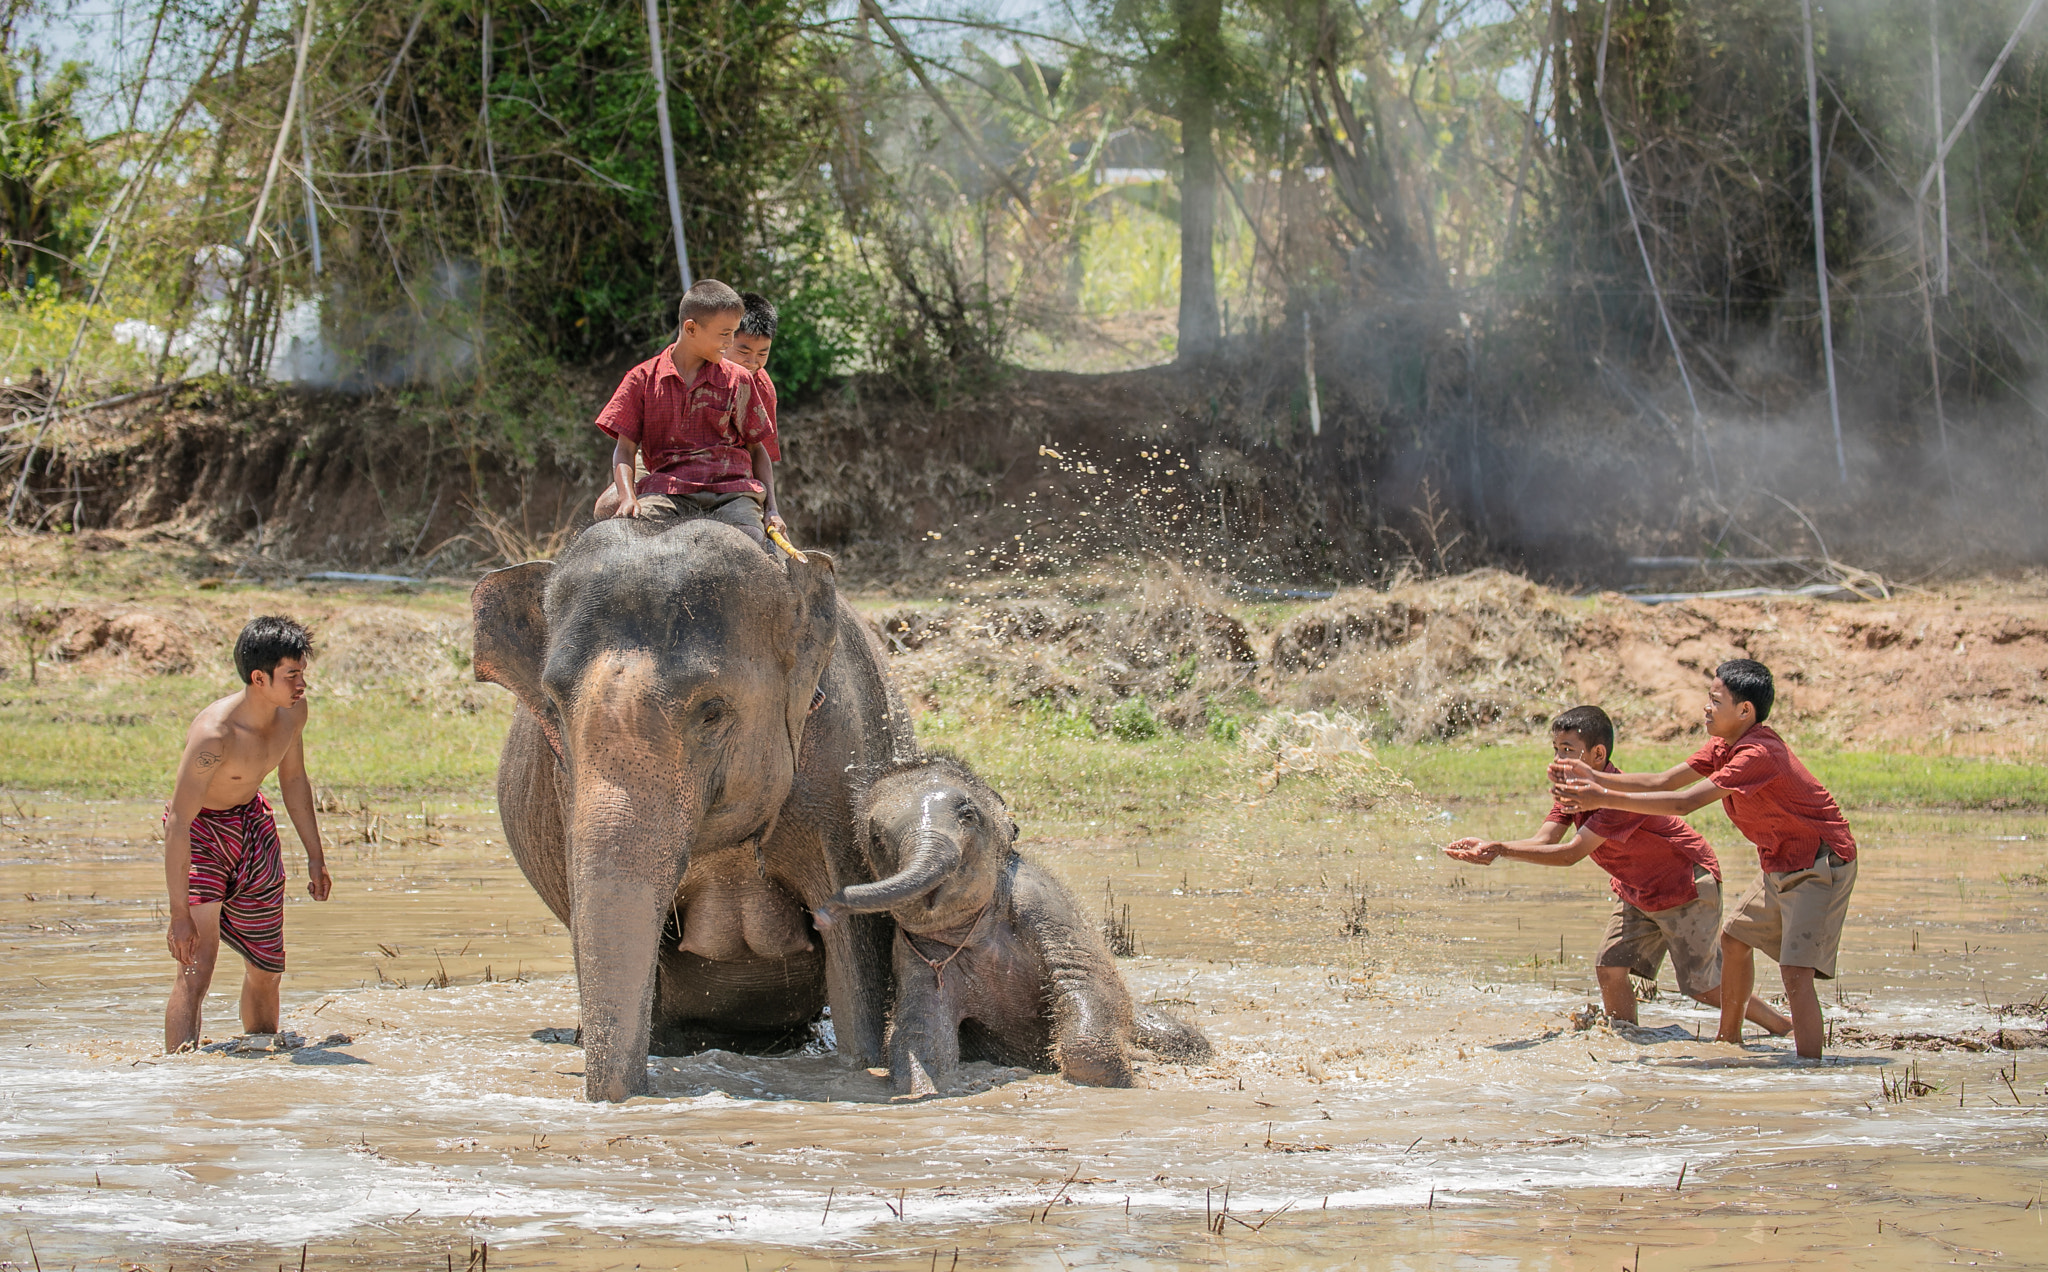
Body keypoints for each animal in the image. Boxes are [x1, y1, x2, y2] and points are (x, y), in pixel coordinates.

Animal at [471, 516, 915, 1101]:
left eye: (712, 711)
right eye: (552, 708)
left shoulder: (839, 771)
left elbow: (852, 961)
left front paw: (862, 1069)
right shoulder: (565, 785)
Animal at [816, 754, 1210, 1096]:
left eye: (968, 815)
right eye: (876, 839)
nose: (823, 912)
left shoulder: (1042, 902)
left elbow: (1085, 980)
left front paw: (1123, 1081)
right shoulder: (913, 950)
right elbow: (921, 1035)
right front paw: (924, 1089)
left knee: (1177, 1034)